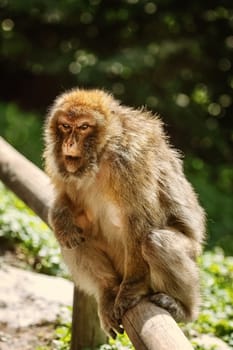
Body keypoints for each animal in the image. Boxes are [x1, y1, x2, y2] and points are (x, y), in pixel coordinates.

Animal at [42, 88, 205, 340]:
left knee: (156, 242)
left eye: (83, 127)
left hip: (187, 253)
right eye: (65, 126)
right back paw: (108, 289)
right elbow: (66, 198)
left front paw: (131, 289)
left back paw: (183, 309)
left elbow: (140, 220)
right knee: (72, 238)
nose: (69, 142)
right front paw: (60, 217)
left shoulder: (128, 161)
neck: (100, 155)